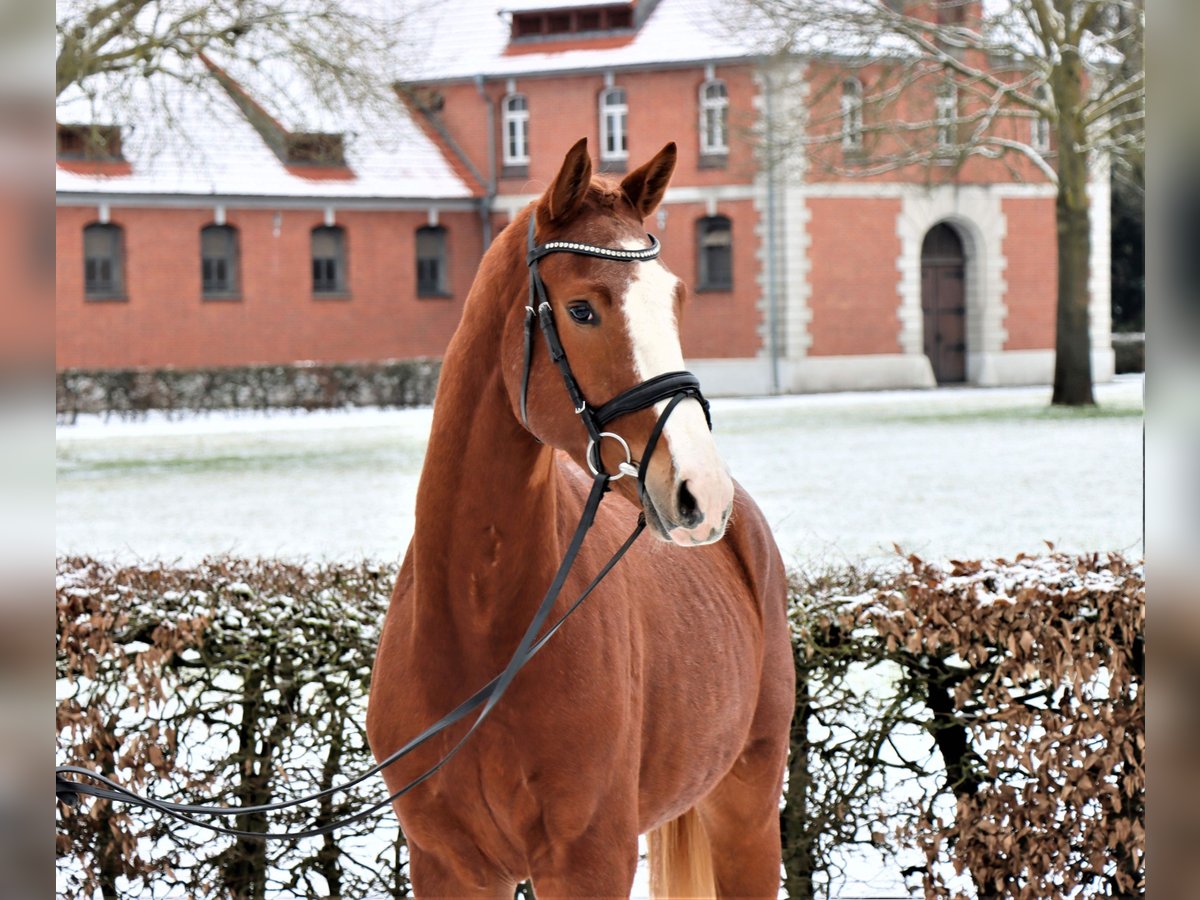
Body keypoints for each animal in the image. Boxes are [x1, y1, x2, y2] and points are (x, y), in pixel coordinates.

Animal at [364, 137, 796, 897]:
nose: (700, 492)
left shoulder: (590, 859)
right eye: (582, 310)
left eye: (675, 298)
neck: (479, 625)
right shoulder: (448, 865)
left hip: (745, 810)